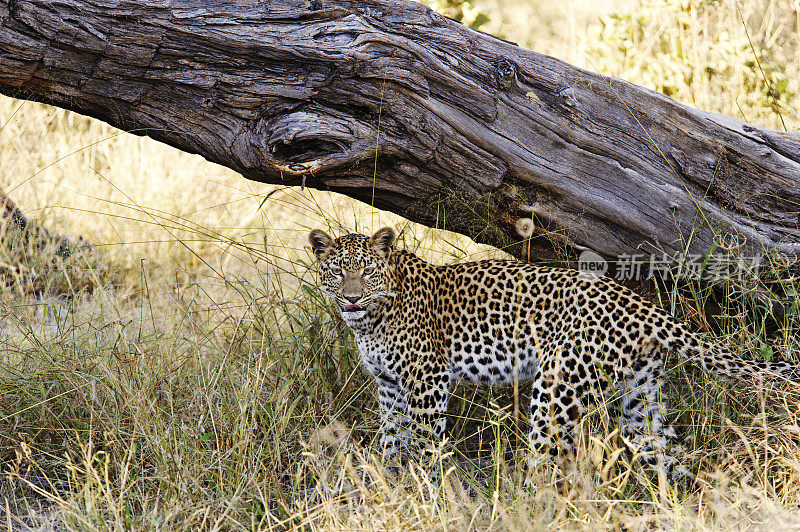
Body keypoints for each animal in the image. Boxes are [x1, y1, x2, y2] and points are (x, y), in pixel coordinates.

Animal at [310, 227, 796, 476]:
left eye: (367, 272)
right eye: (336, 272)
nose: (351, 298)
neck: (370, 321)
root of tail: (643, 305)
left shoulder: (428, 381)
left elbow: (427, 443)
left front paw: (425, 490)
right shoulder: (389, 385)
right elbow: (392, 439)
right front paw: (393, 484)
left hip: (556, 389)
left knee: (549, 461)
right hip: (637, 395)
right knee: (664, 453)